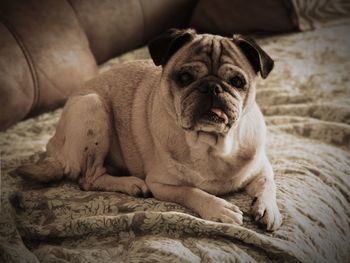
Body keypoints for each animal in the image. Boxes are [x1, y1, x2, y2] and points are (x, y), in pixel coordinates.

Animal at [17, 28, 284, 231]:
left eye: (237, 82)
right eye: (185, 78)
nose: (212, 87)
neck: (212, 145)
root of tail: (53, 148)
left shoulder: (261, 167)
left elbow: (268, 183)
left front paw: (268, 209)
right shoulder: (161, 184)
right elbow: (191, 191)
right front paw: (218, 207)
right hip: (93, 107)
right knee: (88, 178)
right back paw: (131, 184)